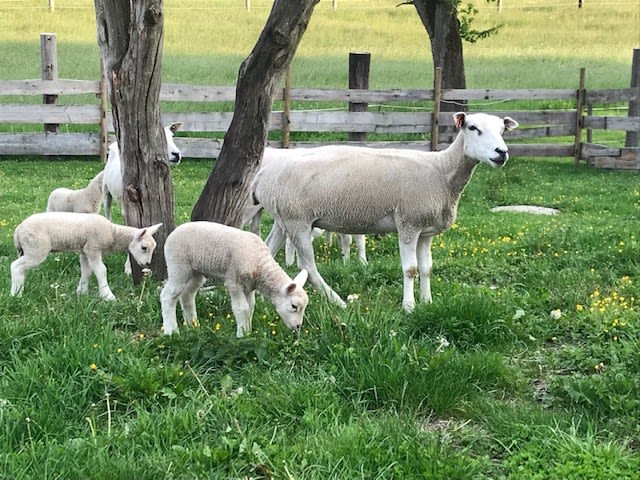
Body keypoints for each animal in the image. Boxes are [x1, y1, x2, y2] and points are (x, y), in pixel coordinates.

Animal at [10, 212, 162, 301]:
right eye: (144, 248)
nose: (146, 264)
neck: (113, 233)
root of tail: (17, 231)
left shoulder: (84, 251)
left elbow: (86, 272)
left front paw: (81, 292)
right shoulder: (93, 248)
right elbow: (101, 271)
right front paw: (108, 296)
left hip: (27, 249)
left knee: (22, 270)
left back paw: (19, 290)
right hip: (36, 248)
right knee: (16, 266)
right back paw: (15, 295)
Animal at [160, 221, 309, 338]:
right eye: (294, 306)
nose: (298, 326)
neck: (260, 265)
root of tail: (173, 233)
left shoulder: (249, 286)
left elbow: (250, 307)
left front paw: (248, 331)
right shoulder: (234, 282)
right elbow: (242, 308)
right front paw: (242, 335)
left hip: (195, 272)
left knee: (187, 295)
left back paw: (192, 324)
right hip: (178, 266)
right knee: (168, 296)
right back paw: (171, 330)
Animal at [253, 112, 518, 311]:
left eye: (502, 130)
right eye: (473, 128)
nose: (501, 152)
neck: (441, 172)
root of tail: (263, 174)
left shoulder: (425, 231)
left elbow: (427, 268)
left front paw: (427, 302)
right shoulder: (408, 223)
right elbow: (410, 269)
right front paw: (409, 307)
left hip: (282, 219)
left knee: (266, 251)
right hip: (297, 220)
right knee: (308, 267)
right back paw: (338, 302)